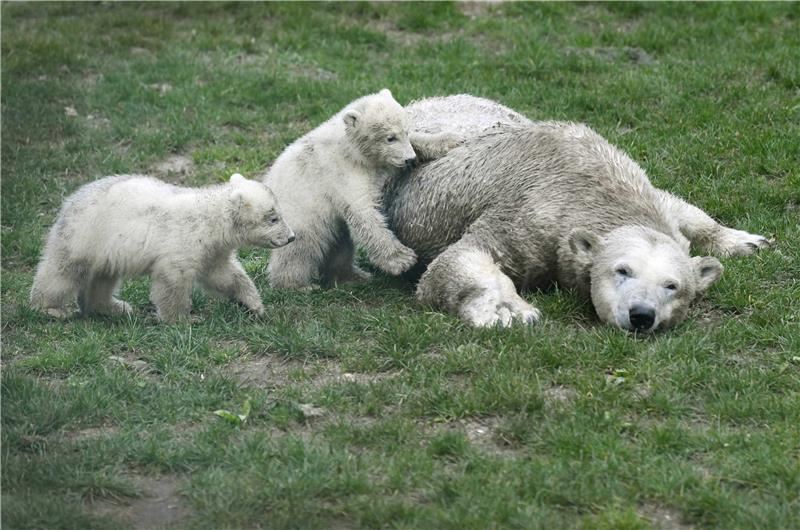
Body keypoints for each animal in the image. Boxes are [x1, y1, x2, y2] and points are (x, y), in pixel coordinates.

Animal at [384, 93, 772, 328]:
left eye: (672, 286)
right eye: (622, 270)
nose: (641, 315)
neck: (591, 188)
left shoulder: (642, 186)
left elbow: (678, 204)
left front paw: (745, 241)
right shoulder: (532, 216)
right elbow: (460, 257)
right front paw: (505, 309)